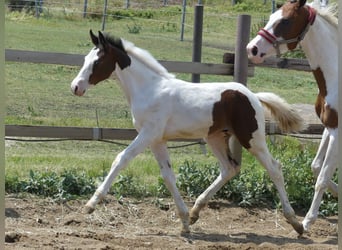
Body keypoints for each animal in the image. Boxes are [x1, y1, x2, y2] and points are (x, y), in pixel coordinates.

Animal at [247, 0, 338, 232]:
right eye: (271, 16)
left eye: (285, 21)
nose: (252, 49)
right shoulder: (330, 127)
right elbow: (316, 167)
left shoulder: (339, 132)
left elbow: (322, 177)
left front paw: (307, 221)